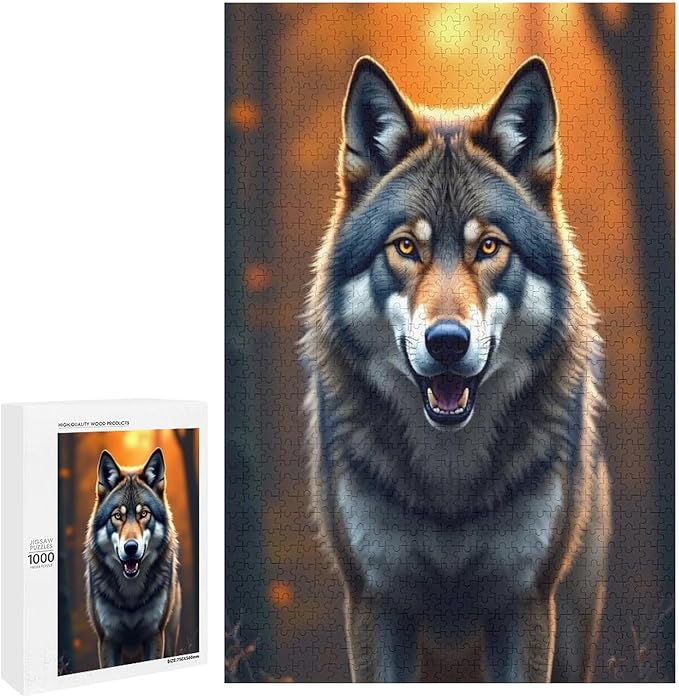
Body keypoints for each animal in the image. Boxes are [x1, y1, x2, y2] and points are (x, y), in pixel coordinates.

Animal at [84, 448, 182, 667]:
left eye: (143, 514)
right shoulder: (108, 639)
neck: (131, 595)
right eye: (117, 516)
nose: (130, 548)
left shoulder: (155, 635)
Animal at [302, 56, 611, 682]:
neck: (451, 483)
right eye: (406, 247)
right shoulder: (374, 601)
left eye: (488, 247)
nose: (447, 342)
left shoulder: (526, 602)